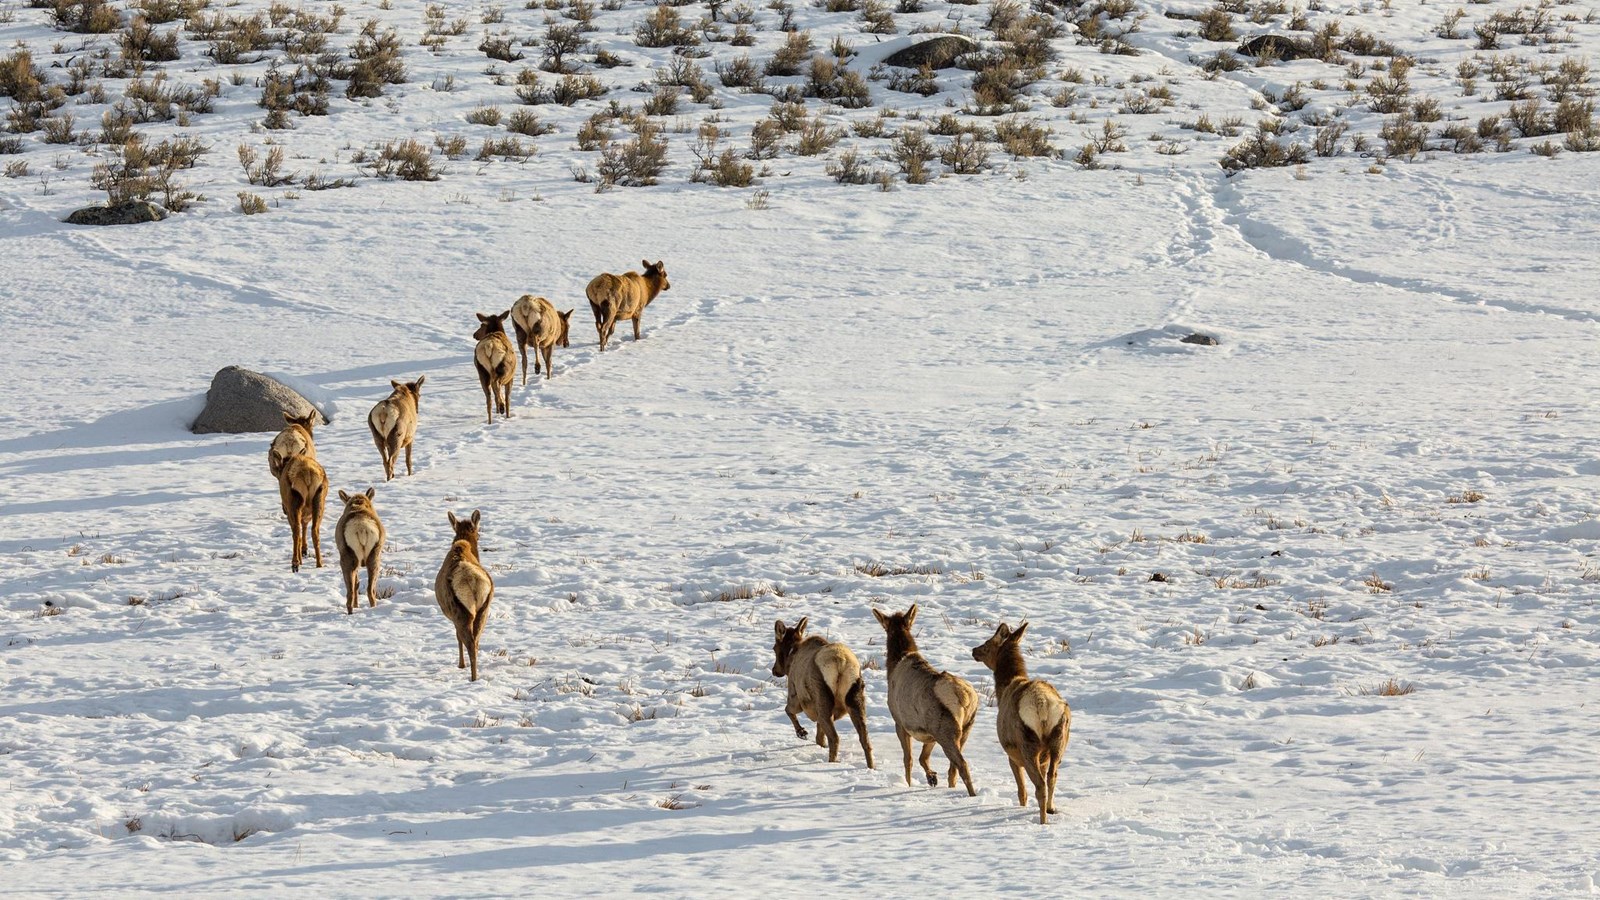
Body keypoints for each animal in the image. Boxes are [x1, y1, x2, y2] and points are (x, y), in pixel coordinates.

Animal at [434, 509, 493, 681]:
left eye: (478, 535)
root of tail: (472, 580)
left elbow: (457, 637)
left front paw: (460, 665)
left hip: (460, 611)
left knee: (470, 643)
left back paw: (472, 678)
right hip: (483, 609)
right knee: (477, 641)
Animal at [770, 618, 874, 769]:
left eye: (775, 648)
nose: (774, 670)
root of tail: (840, 662)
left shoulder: (796, 695)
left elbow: (788, 710)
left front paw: (802, 732)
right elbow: (819, 735)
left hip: (822, 696)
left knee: (835, 738)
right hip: (855, 698)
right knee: (865, 739)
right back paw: (871, 767)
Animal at [872, 604, 979, 796]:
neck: (895, 663)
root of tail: (965, 697)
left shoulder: (900, 723)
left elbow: (909, 760)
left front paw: (909, 784)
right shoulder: (930, 734)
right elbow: (923, 758)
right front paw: (932, 778)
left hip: (946, 730)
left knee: (962, 765)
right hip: (966, 728)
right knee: (952, 770)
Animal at [971, 622, 1070, 825]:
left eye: (987, 644)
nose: (973, 650)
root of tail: (1042, 704)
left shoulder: (1012, 755)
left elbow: (1021, 791)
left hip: (1026, 744)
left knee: (1039, 786)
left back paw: (1042, 821)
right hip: (1059, 740)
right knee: (1052, 777)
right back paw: (1050, 809)